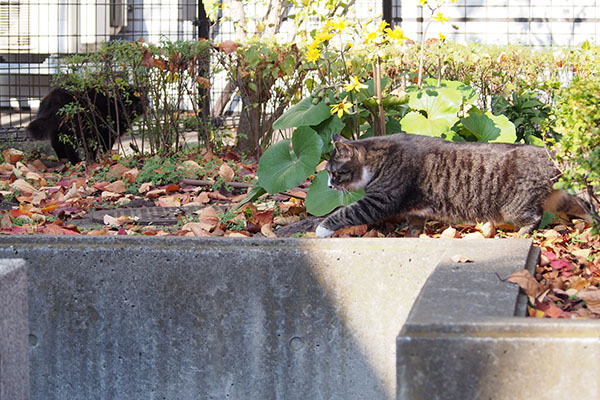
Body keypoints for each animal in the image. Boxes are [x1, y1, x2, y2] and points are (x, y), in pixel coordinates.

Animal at [314, 134, 592, 238]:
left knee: (534, 217)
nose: (328, 185)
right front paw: (414, 238)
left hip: (516, 205)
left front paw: (322, 229)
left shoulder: (379, 201)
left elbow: (346, 211)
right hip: (561, 199)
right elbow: (415, 227)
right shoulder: (415, 211)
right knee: (583, 209)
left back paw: (521, 234)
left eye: (334, 173)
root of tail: (551, 154)